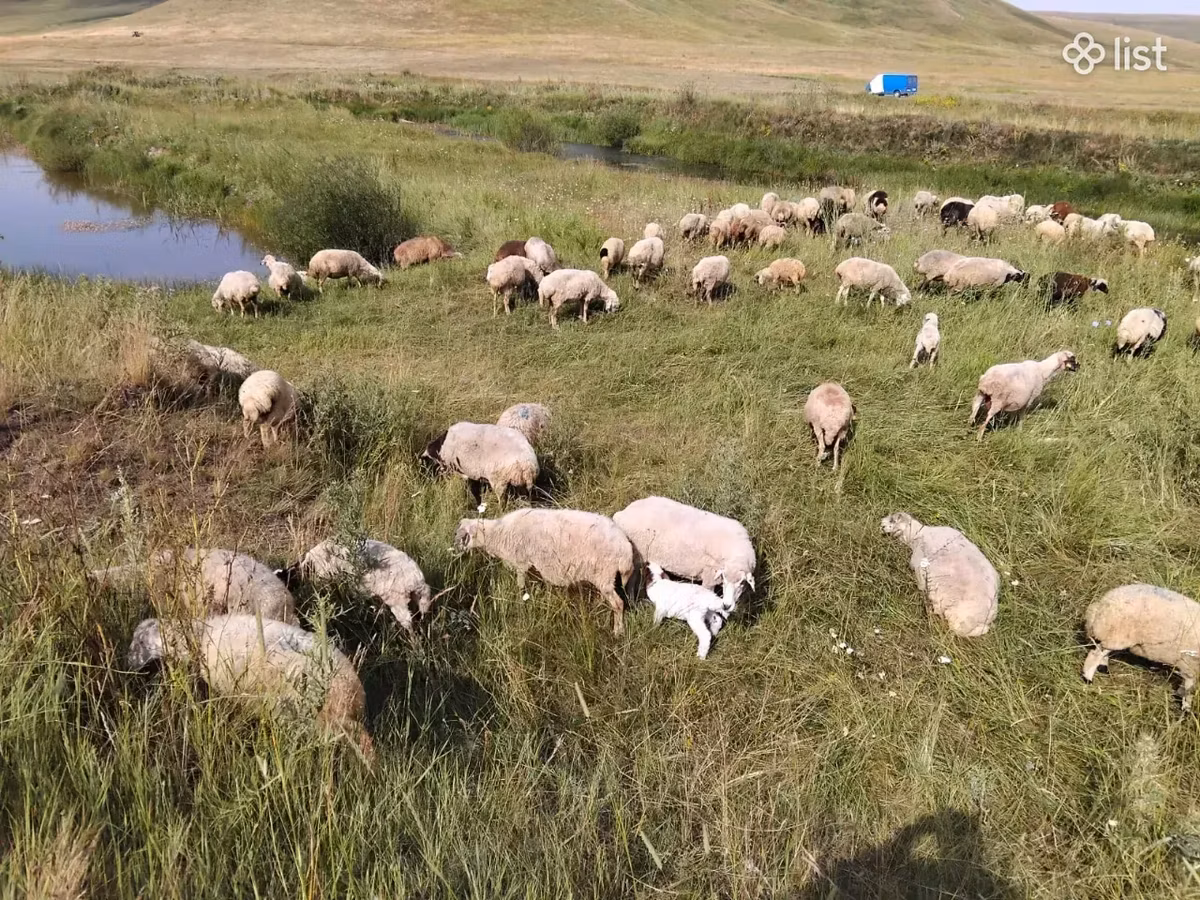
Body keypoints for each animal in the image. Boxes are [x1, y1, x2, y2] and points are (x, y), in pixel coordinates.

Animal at [454, 509, 633, 635]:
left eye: (461, 536)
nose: (454, 551)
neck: (499, 533)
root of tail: (625, 549)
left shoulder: (522, 563)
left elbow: (521, 586)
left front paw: (521, 603)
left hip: (604, 574)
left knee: (618, 604)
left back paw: (618, 631)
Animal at [611, 496, 756, 605]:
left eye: (742, 583)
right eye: (724, 579)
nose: (727, 605)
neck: (736, 553)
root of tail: (621, 514)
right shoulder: (709, 576)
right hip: (636, 553)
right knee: (631, 578)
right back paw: (632, 600)